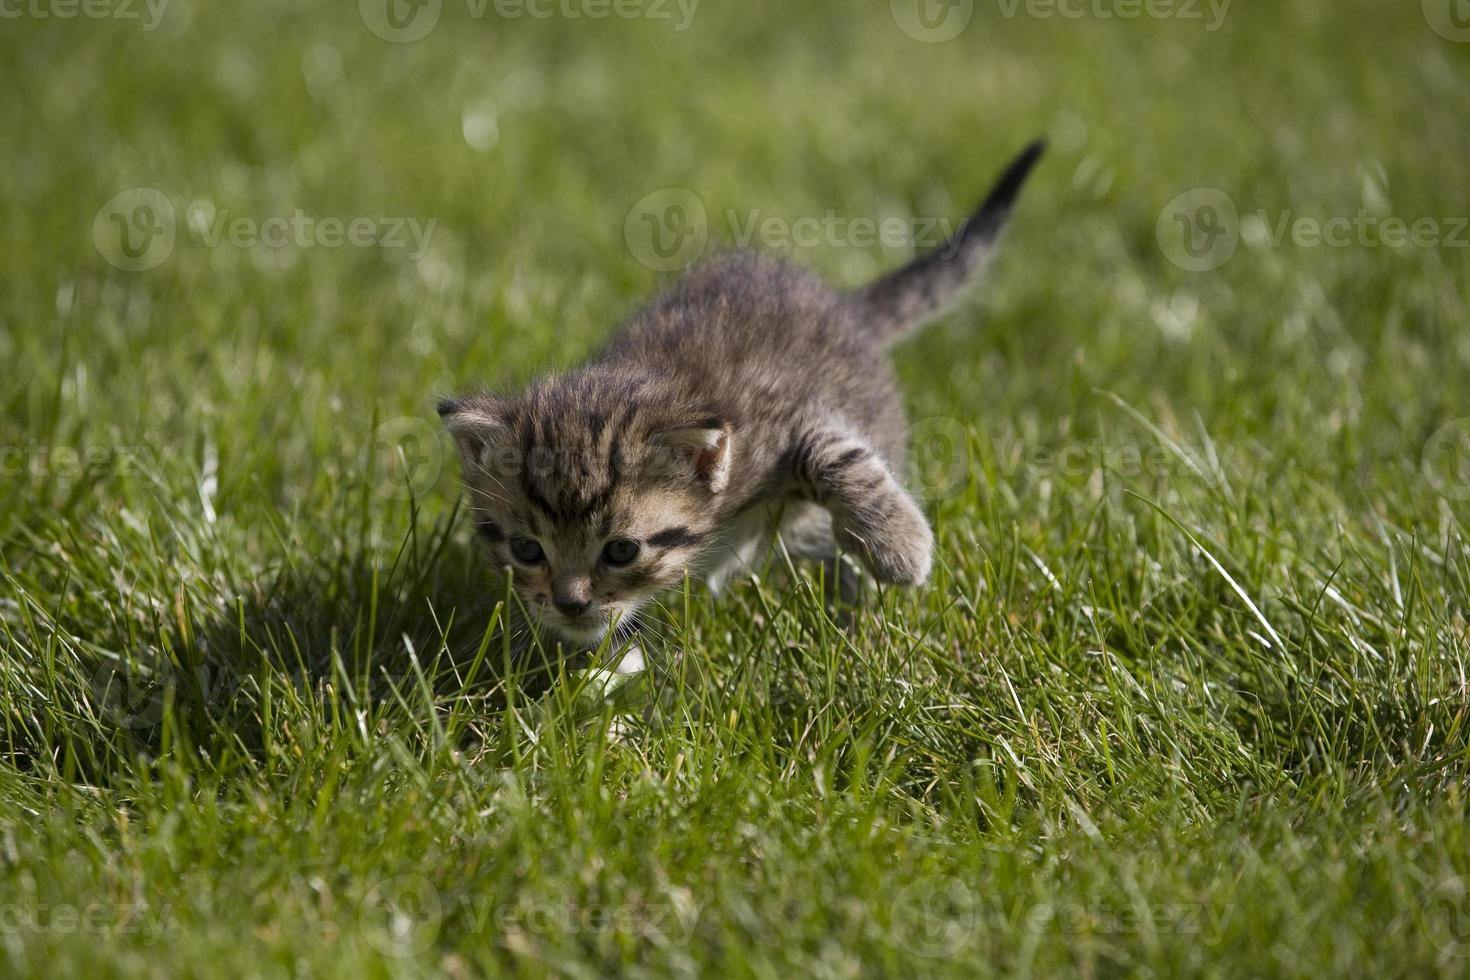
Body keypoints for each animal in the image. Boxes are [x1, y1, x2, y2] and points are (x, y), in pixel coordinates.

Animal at [435, 141, 1046, 655]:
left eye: (621, 550)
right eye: (527, 550)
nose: (570, 603)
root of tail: (848, 307)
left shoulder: (785, 412)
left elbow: (835, 452)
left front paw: (902, 546)